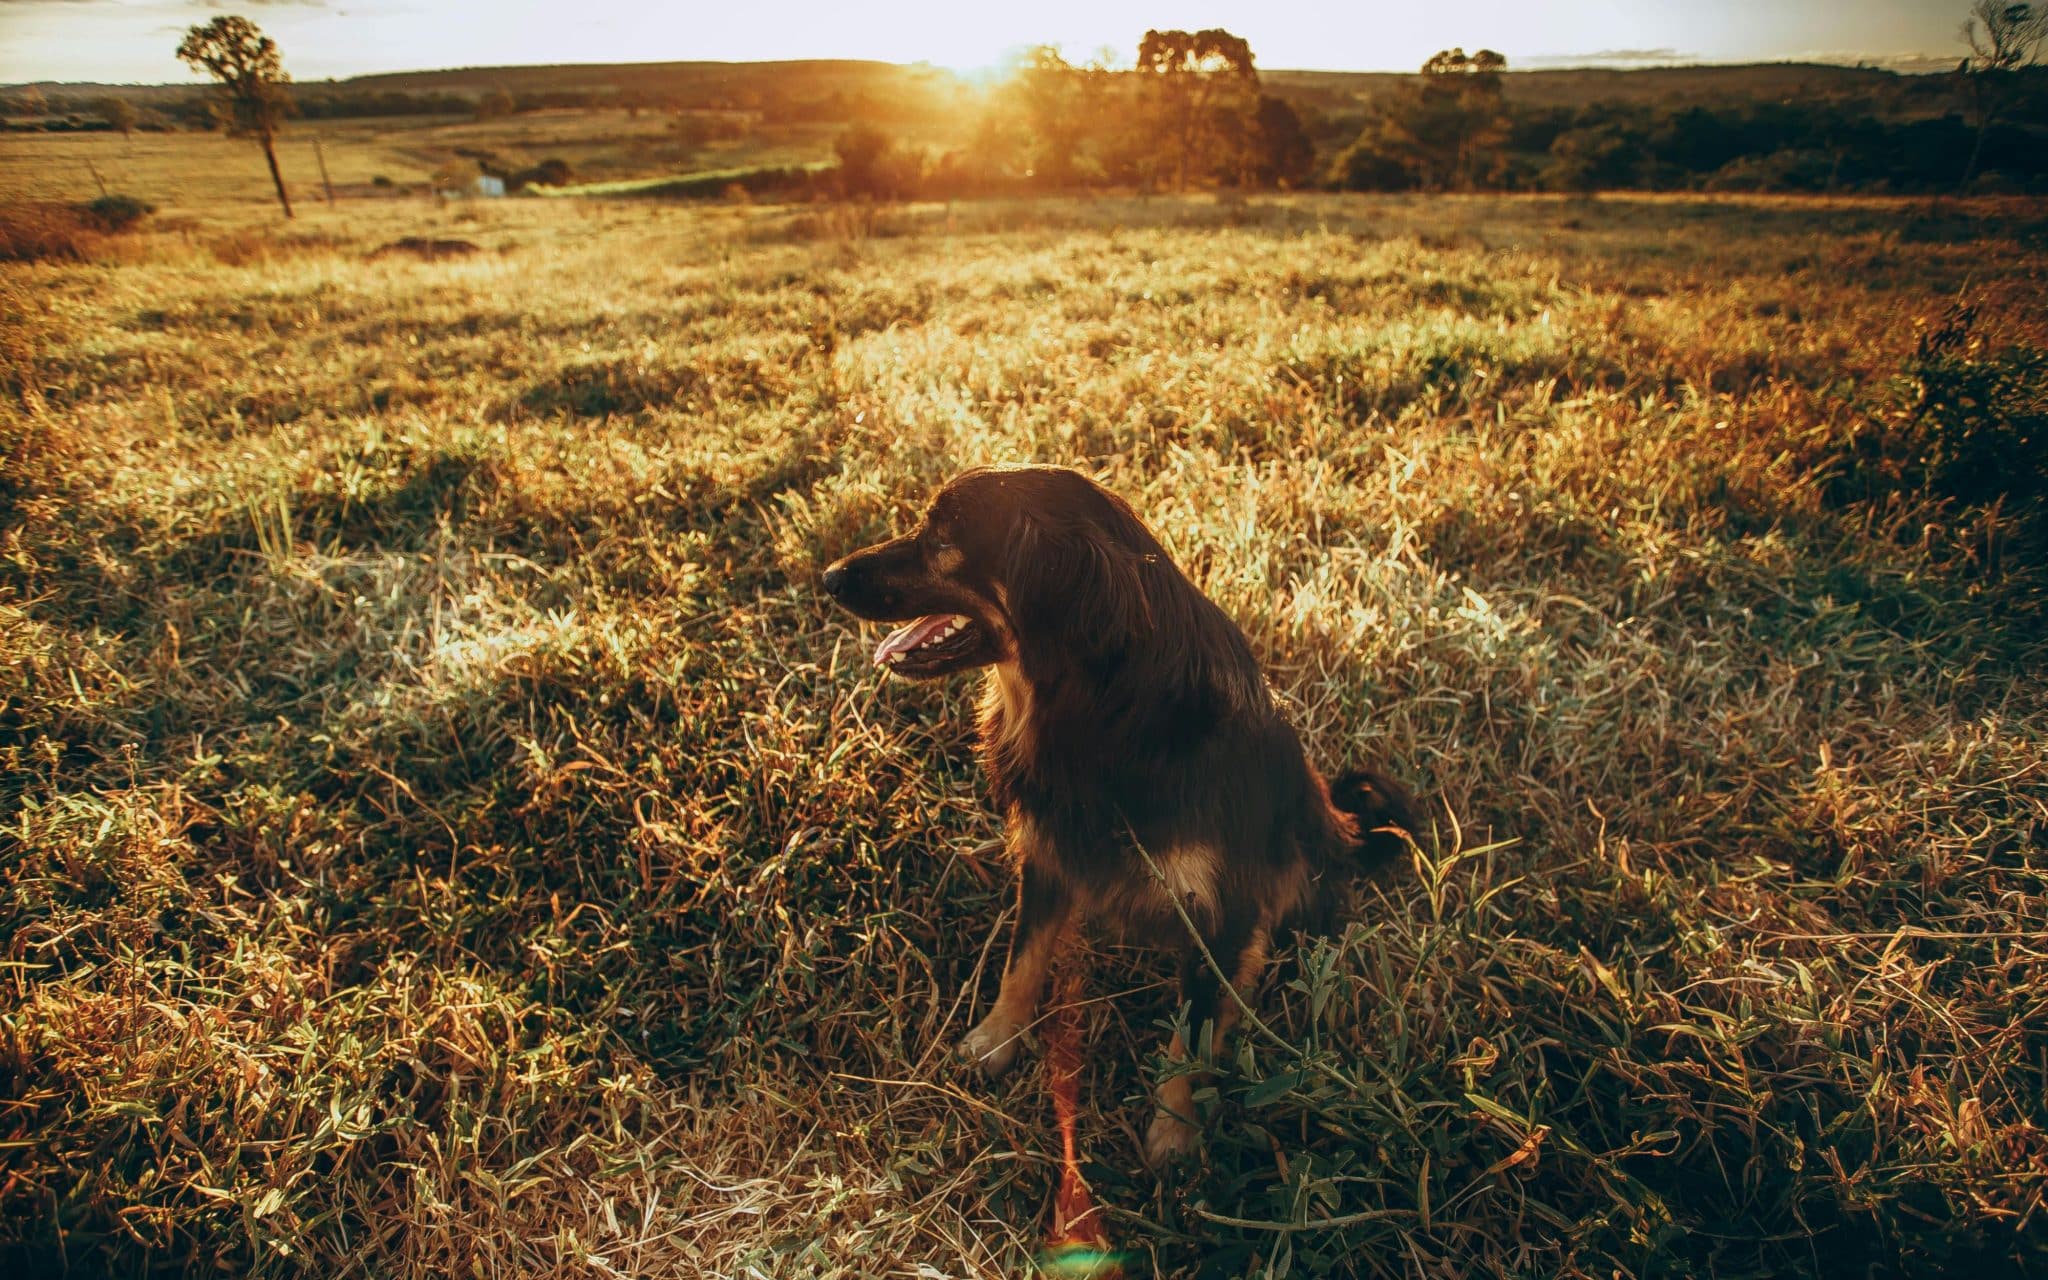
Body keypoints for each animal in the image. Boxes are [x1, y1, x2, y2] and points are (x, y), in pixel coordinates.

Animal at [823, 464, 1417, 1163]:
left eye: (943, 539)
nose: (830, 577)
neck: (1104, 710)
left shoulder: (1221, 908)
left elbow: (1192, 1030)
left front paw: (1175, 1126)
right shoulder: (1048, 850)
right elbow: (1023, 960)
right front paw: (997, 1039)